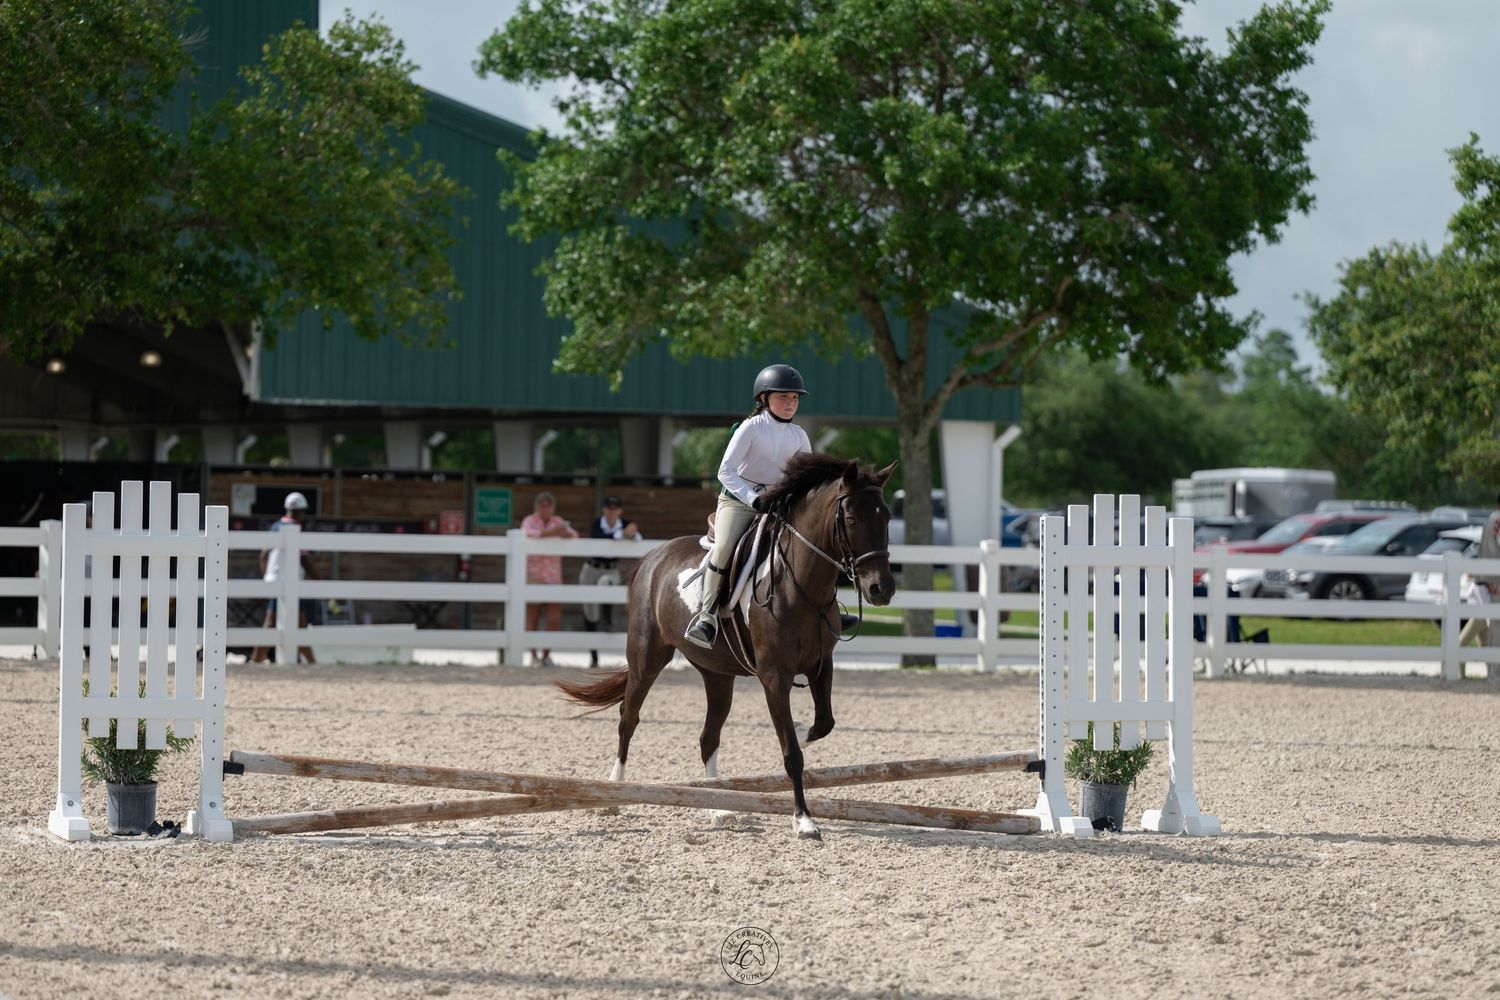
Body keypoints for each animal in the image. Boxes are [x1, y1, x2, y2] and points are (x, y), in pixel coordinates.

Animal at [555, 453, 897, 839]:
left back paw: (718, 808)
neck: (802, 585)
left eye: (886, 516)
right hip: (647, 658)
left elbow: (824, 723)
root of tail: (653, 556)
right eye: (851, 519)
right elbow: (792, 752)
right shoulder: (774, 677)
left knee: (708, 738)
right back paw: (614, 793)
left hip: (717, 676)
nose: (881, 589)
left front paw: (804, 734)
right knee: (628, 718)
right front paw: (804, 820)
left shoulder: (821, 665)